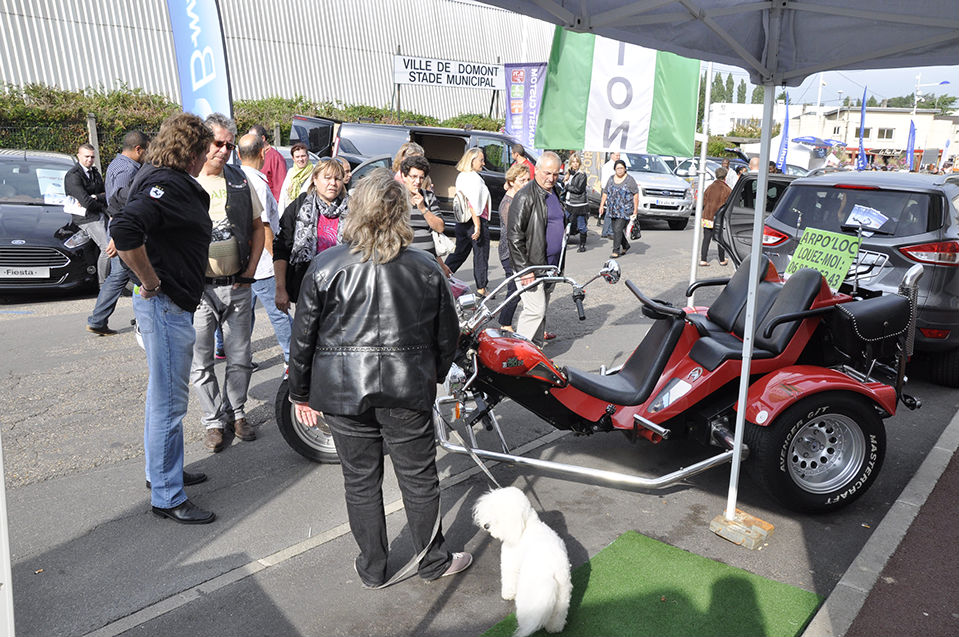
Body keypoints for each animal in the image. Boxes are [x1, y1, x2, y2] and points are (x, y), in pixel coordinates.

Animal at [472, 487, 572, 637]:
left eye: (499, 516)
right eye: (490, 510)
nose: (486, 525)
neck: (526, 526)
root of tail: (550, 573)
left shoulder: (509, 563)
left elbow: (508, 579)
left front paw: (507, 595)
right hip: (563, 592)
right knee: (558, 614)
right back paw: (554, 628)